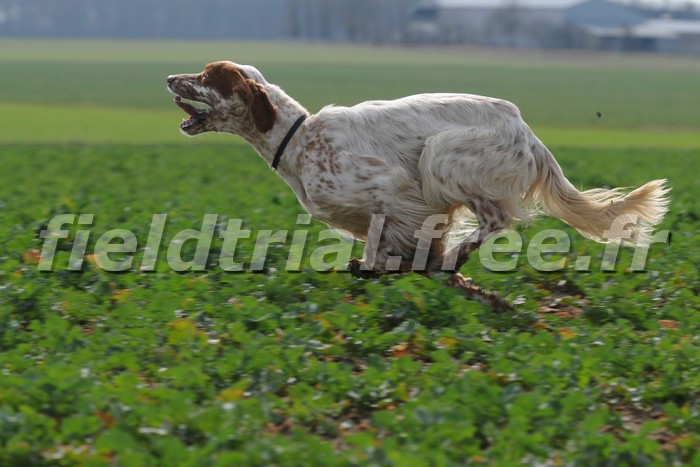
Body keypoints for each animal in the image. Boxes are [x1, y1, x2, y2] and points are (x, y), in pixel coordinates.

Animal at [167, 61, 668, 278]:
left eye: (208, 76)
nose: (170, 78)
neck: (299, 140)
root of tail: (526, 131)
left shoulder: (392, 190)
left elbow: (380, 234)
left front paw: (379, 264)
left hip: (441, 154)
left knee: (498, 219)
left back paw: (456, 255)